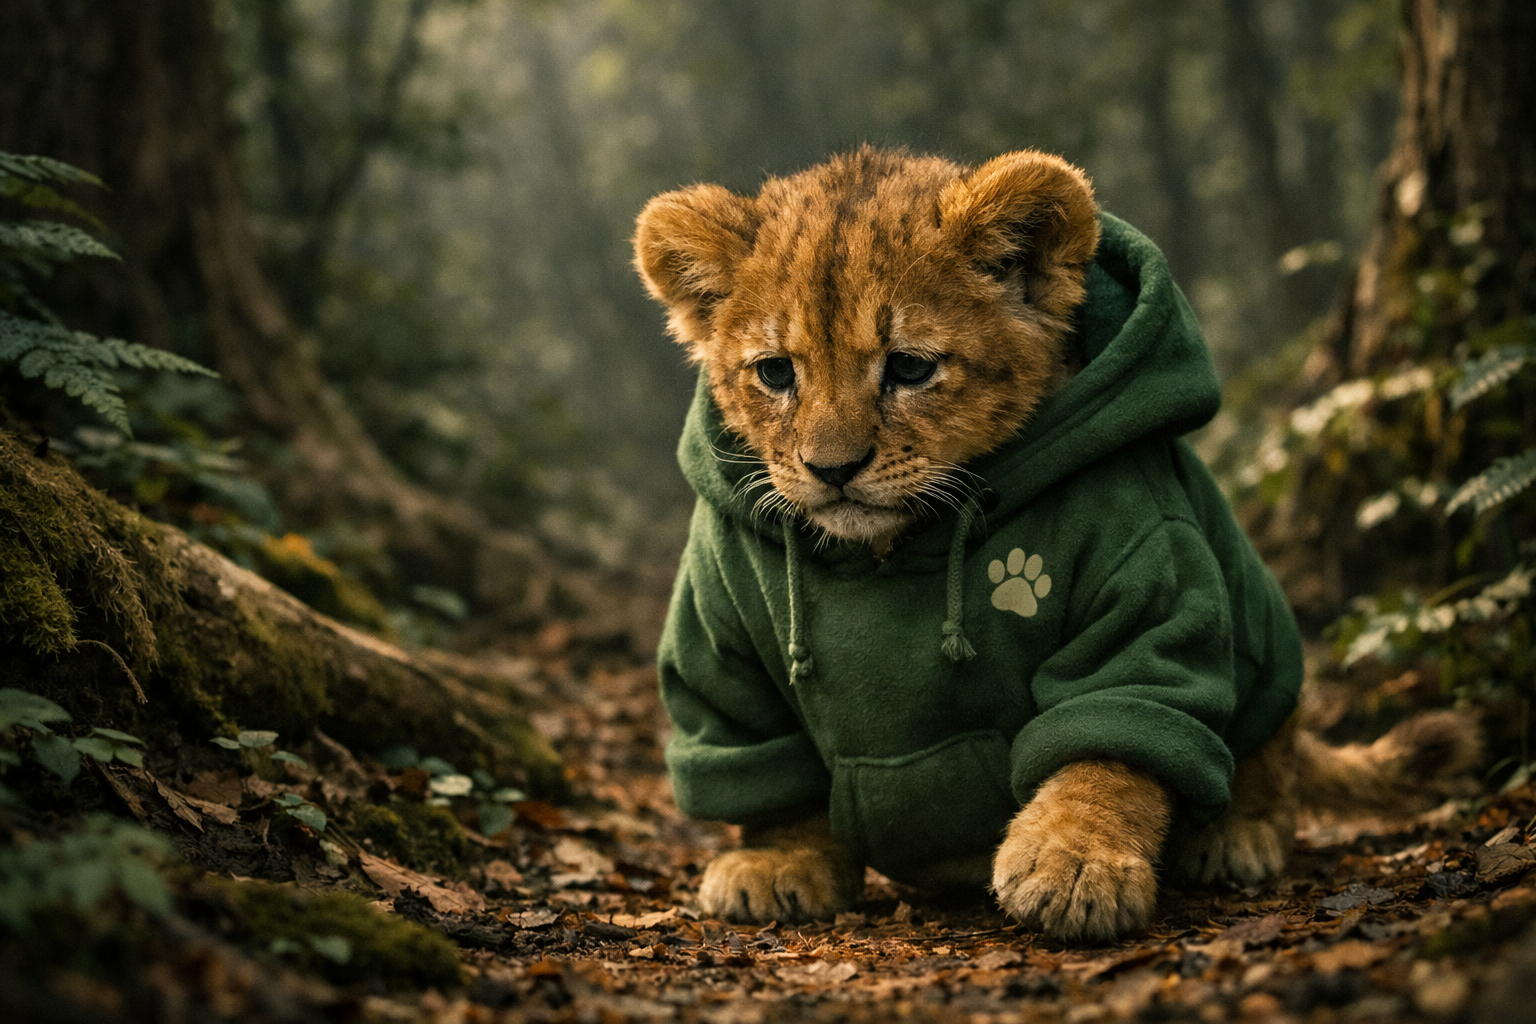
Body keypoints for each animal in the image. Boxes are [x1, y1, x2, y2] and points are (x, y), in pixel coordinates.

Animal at [632, 147, 1477, 943]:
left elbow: (1107, 752)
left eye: (909, 367)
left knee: (1272, 764)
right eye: (776, 373)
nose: (832, 471)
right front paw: (777, 861)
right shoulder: (717, 642)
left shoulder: (1146, 590)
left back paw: (1238, 836)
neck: (890, 548)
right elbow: (764, 770)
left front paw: (1075, 864)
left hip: (1266, 650)